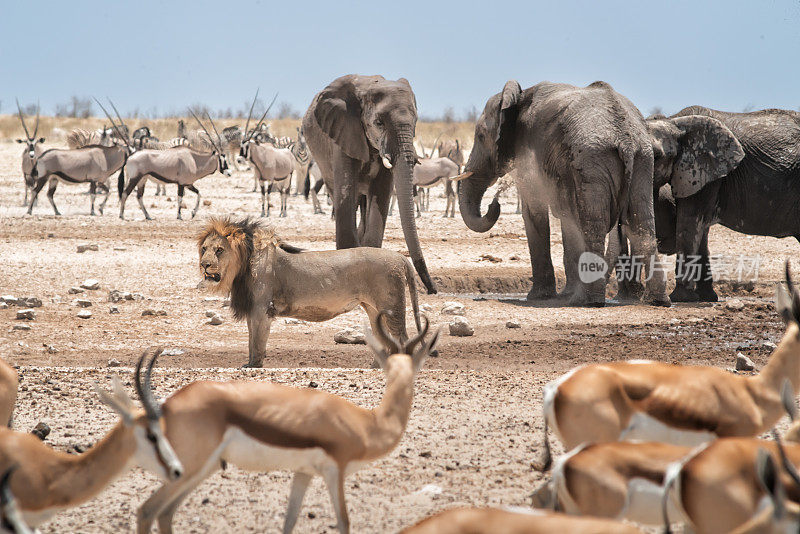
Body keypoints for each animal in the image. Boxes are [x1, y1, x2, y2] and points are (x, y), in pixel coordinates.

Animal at [198, 218, 424, 368]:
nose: (204, 265)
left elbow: (257, 340)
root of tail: (401, 258)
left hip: (391, 307)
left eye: (219, 250)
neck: (243, 265)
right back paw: (377, 366)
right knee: (383, 338)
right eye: (204, 249)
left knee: (401, 338)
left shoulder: (262, 308)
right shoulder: (253, 308)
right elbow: (251, 338)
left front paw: (254, 365)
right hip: (374, 309)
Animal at [300, 75, 438, 296]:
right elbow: (346, 191)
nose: (432, 289)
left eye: (416, 123)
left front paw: (370, 255)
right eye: (379, 123)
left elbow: (381, 193)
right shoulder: (343, 132)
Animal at [456, 78, 668, 306]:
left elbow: (534, 212)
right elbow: (565, 218)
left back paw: (587, 301)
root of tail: (625, 139)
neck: (518, 97)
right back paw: (657, 301)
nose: (494, 203)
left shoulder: (528, 154)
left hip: (592, 159)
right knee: (642, 224)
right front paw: (564, 293)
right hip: (643, 159)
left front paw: (538, 297)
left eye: (480, 136)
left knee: (593, 223)